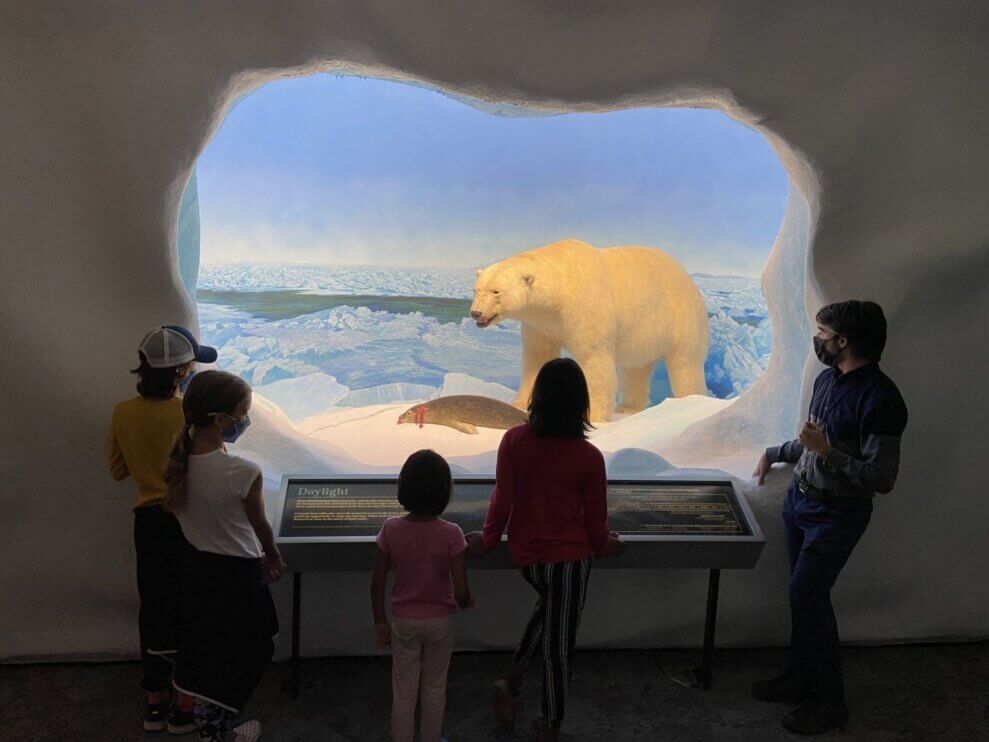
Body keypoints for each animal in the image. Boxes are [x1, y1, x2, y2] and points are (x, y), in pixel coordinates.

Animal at [468, 240, 708, 422]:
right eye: (476, 289)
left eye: (496, 291)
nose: (476, 313)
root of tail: (687, 277)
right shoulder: (541, 324)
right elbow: (537, 357)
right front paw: (519, 403)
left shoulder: (586, 309)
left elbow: (595, 360)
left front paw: (594, 416)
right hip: (644, 333)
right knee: (636, 368)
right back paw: (628, 407)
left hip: (682, 318)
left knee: (685, 364)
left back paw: (691, 400)